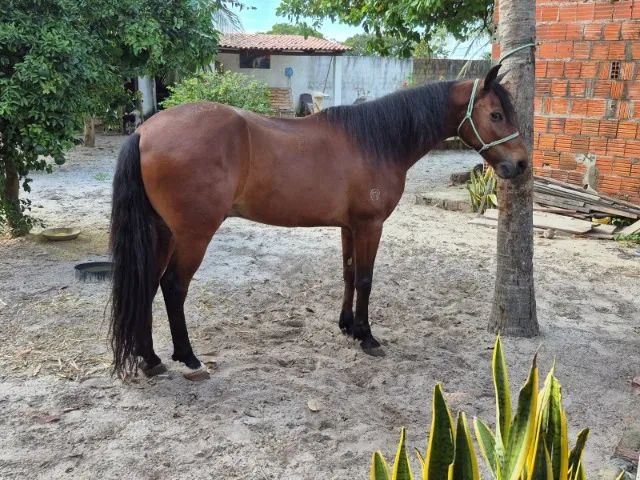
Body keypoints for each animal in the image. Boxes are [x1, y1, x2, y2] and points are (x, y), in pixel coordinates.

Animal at [109, 64, 528, 379]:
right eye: (495, 114)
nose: (521, 164)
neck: (375, 141)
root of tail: (145, 131)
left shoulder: (349, 226)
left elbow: (347, 274)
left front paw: (346, 326)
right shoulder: (370, 225)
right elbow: (365, 279)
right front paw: (366, 337)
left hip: (162, 232)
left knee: (147, 284)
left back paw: (150, 359)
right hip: (193, 234)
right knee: (173, 286)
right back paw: (189, 359)